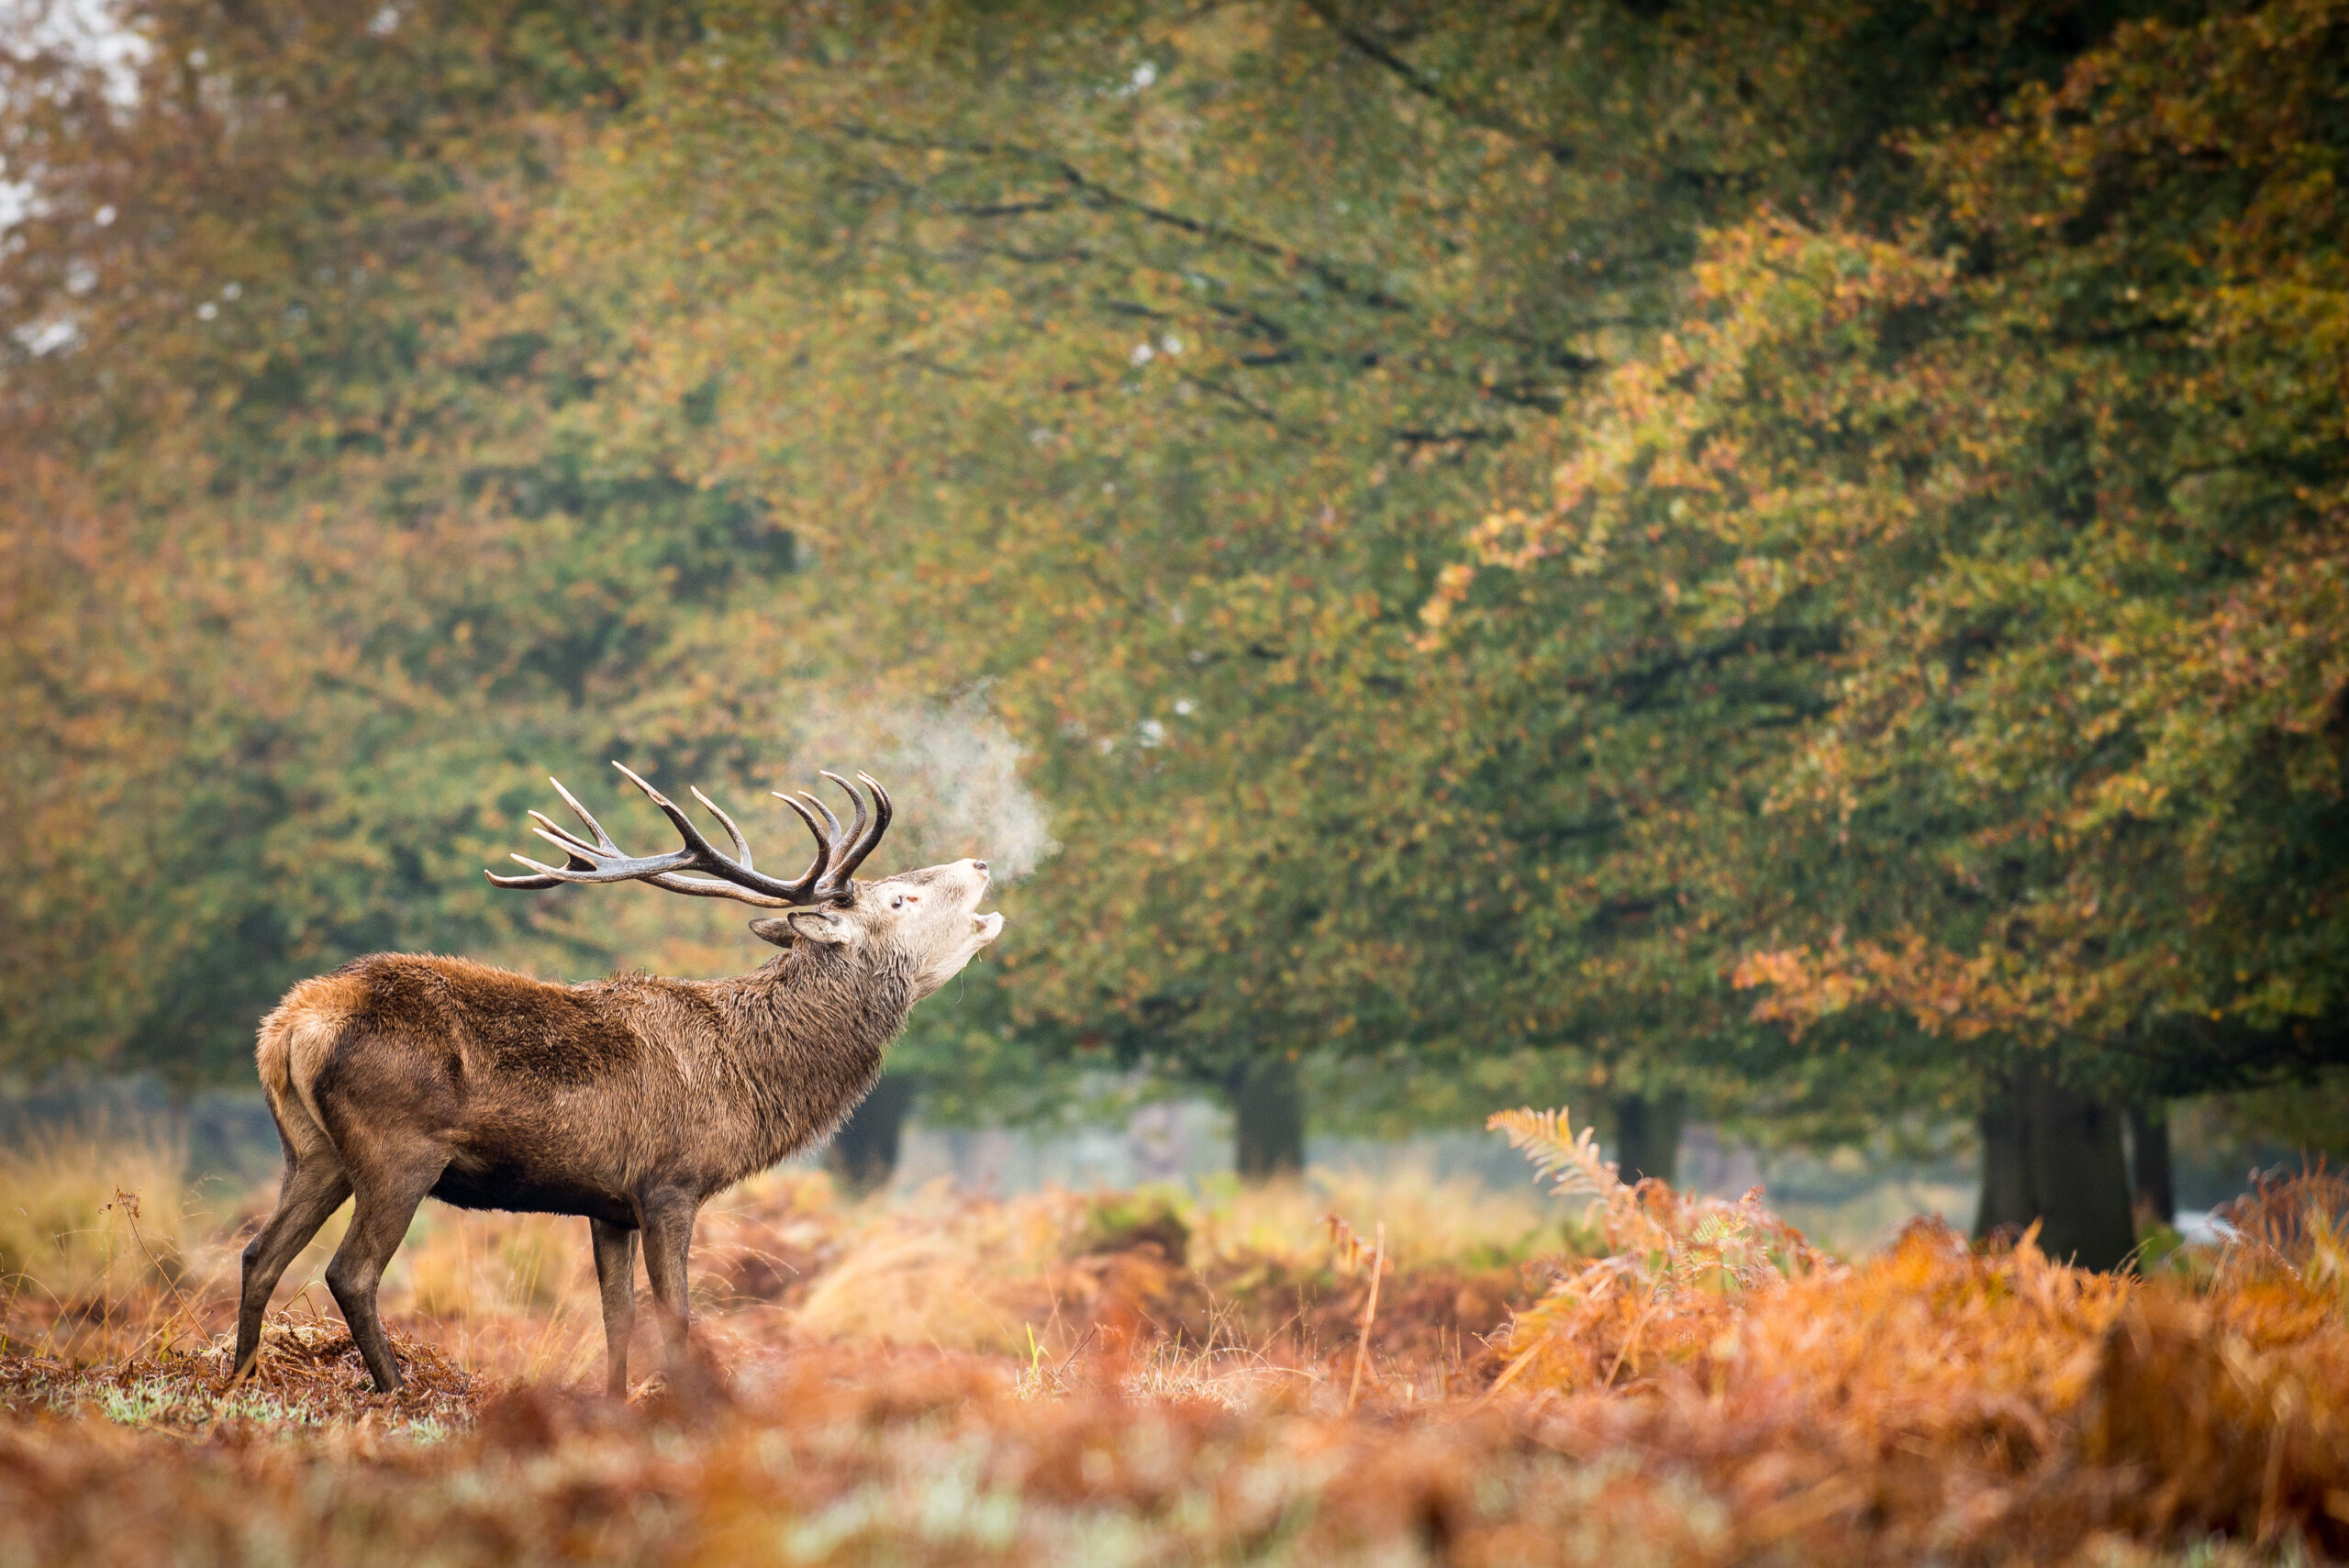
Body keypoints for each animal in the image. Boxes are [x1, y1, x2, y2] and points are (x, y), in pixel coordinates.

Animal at [228, 765, 1002, 1396]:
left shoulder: (608, 1203)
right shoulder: (670, 1185)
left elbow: (617, 1317)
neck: (748, 1079)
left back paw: (237, 1382)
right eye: (899, 899)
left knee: (259, 1254)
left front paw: (614, 1405)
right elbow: (676, 1316)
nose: (982, 860)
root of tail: (290, 1024)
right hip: (398, 1151)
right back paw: (395, 1391)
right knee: (350, 1271)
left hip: (313, 1152)